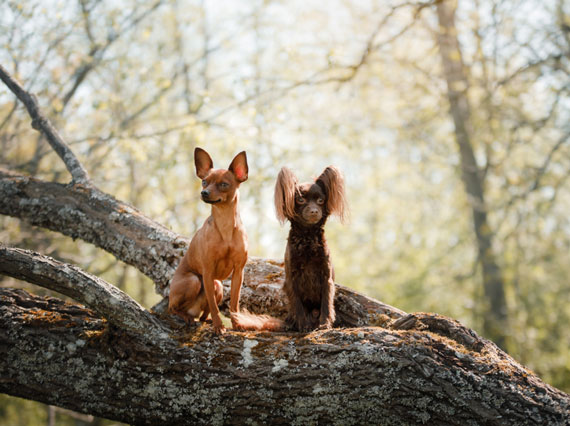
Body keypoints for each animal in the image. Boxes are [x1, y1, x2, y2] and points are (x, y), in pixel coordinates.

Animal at [166, 148, 246, 334]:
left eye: (224, 184)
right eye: (204, 182)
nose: (204, 192)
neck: (225, 223)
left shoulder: (238, 272)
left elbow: (234, 304)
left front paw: (237, 324)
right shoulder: (208, 272)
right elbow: (215, 307)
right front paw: (218, 327)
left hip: (218, 285)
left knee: (202, 315)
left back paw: (205, 320)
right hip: (194, 281)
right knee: (172, 308)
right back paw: (186, 317)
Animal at [272, 165, 344, 332]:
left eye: (320, 200)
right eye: (300, 199)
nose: (314, 211)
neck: (307, 237)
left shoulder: (326, 277)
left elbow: (326, 303)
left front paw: (324, 324)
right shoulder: (292, 279)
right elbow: (298, 305)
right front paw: (303, 326)